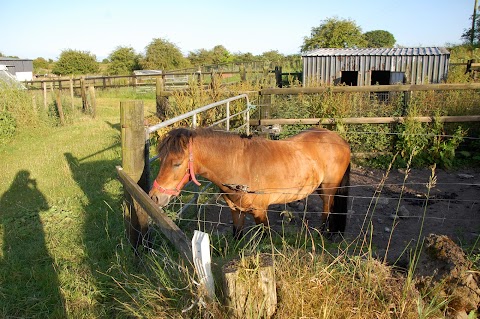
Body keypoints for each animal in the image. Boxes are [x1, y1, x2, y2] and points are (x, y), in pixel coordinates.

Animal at [148, 126, 350, 239]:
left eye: (176, 163)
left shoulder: (260, 212)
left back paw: (323, 234)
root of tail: (340, 140)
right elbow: (237, 238)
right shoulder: (236, 211)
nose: (154, 197)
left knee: (327, 209)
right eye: (161, 159)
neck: (238, 165)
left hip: (329, 189)